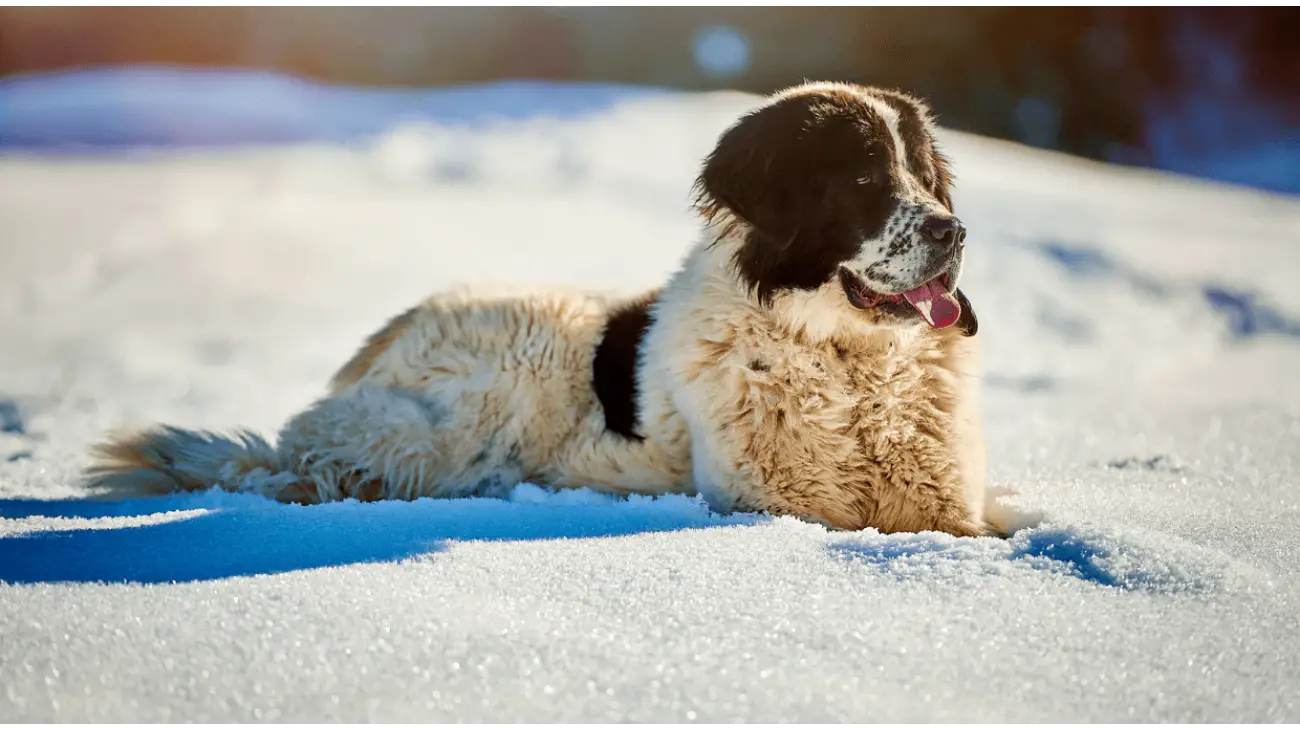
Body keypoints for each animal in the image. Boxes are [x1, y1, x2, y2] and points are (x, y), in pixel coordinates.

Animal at [86, 80, 998, 535]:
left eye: (926, 175)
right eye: (862, 177)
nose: (954, 231)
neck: (846, 359)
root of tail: (391, 332)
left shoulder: (950, 503)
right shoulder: (780, 504)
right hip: (475, 406)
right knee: (317, 456)